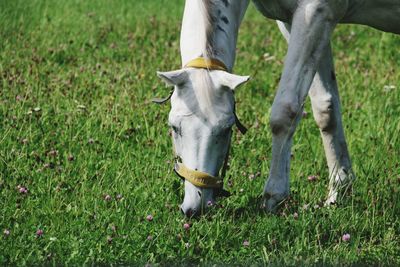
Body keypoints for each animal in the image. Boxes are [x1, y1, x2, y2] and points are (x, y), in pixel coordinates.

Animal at [156, 0, 400, 217]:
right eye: (174, 127)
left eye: (226, 129)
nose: (194, 208)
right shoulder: (301, 22)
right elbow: (325, 107)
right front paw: (339, 192)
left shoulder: (316, 13)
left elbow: (285, 111)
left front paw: (274, 196)